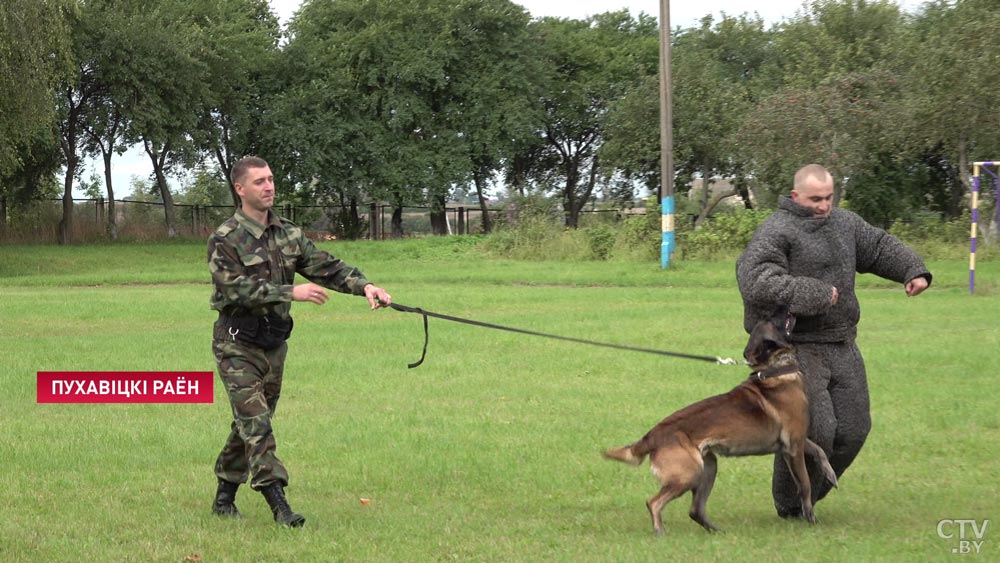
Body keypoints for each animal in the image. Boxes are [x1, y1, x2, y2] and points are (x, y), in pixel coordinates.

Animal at [604, 306, 840, 536]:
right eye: (773, 319)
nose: (788, 307)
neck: (775, 370)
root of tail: (651, 436)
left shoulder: (797, 440)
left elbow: (819, 450)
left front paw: (831, 474)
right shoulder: (793, 446)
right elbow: (805, 484)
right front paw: (811, 518)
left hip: (708, 467)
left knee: (695, 510)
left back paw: (716, 531)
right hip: (689, 473)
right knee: (654, 502)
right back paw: (660, 531)